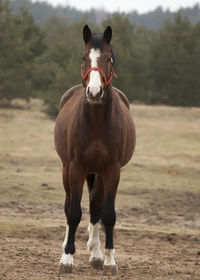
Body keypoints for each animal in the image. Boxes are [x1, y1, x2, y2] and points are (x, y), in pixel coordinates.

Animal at [54, 24, 136, 276]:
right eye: (83, 57)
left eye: (108, 59)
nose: (94, 92)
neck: (98, 122)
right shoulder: (76, 167)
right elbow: (73, 212)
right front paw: (67, 259)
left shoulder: (112, 170)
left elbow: (107, 214)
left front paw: (109, 260)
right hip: (67, 169)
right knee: (69, 204)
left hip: (98, 173)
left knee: (95, 206)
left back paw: (96, 253)